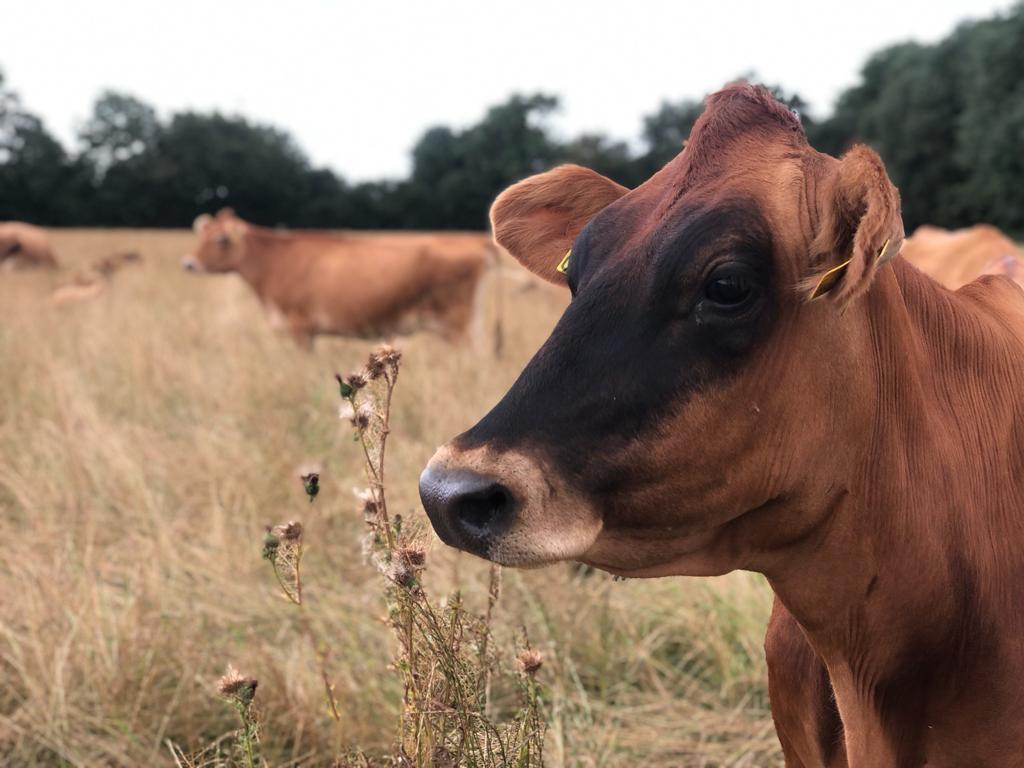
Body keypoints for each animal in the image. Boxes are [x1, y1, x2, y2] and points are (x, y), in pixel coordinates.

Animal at [184, 208, 491, 350]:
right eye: (202, 234)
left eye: (221, 239)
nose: (188, 263)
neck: (275, 261)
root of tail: (474, 241)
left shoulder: (300, 326)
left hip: (456, 324)